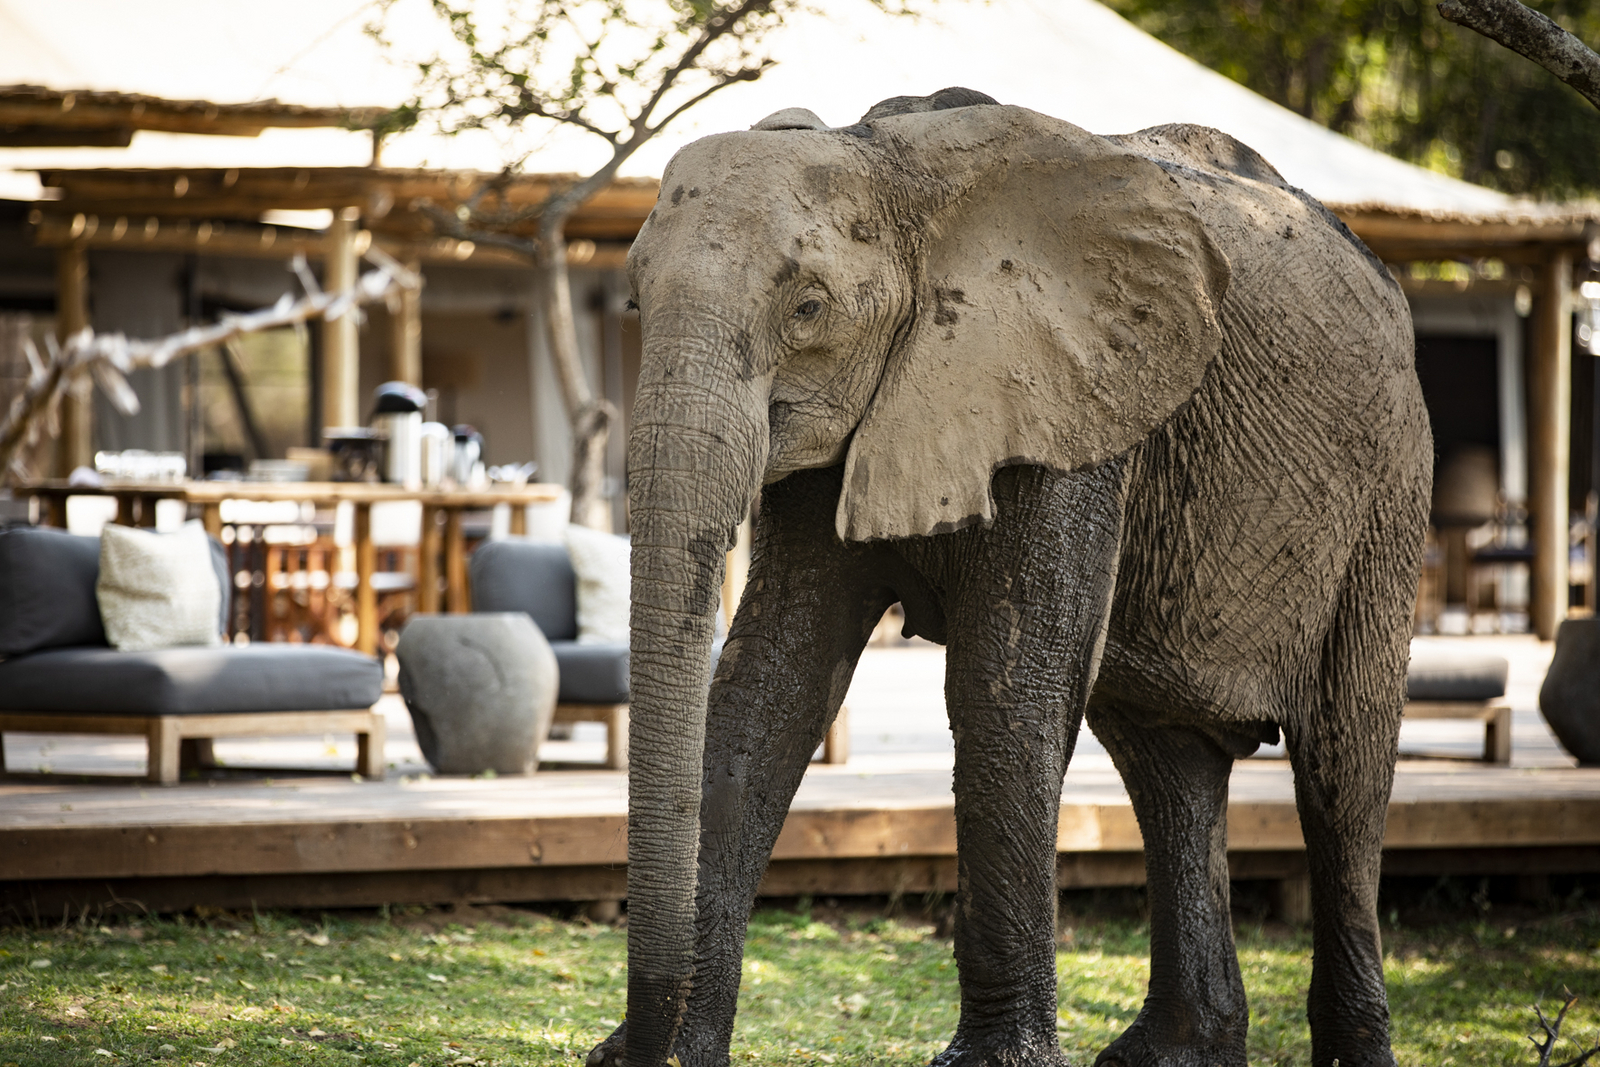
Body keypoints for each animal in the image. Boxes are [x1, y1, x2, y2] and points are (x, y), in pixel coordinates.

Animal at [595, 86, 1430, 1067]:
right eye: (634, 298)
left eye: (808, 307)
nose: (637, 1045)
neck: (890, 160)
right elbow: (771, 682)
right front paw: (661, 1053)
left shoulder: (1070, 401)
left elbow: (1005, 688)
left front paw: (994, 1063)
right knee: (1166, 761)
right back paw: (1171, 1053)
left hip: (1389, 483)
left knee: (1342, 768)